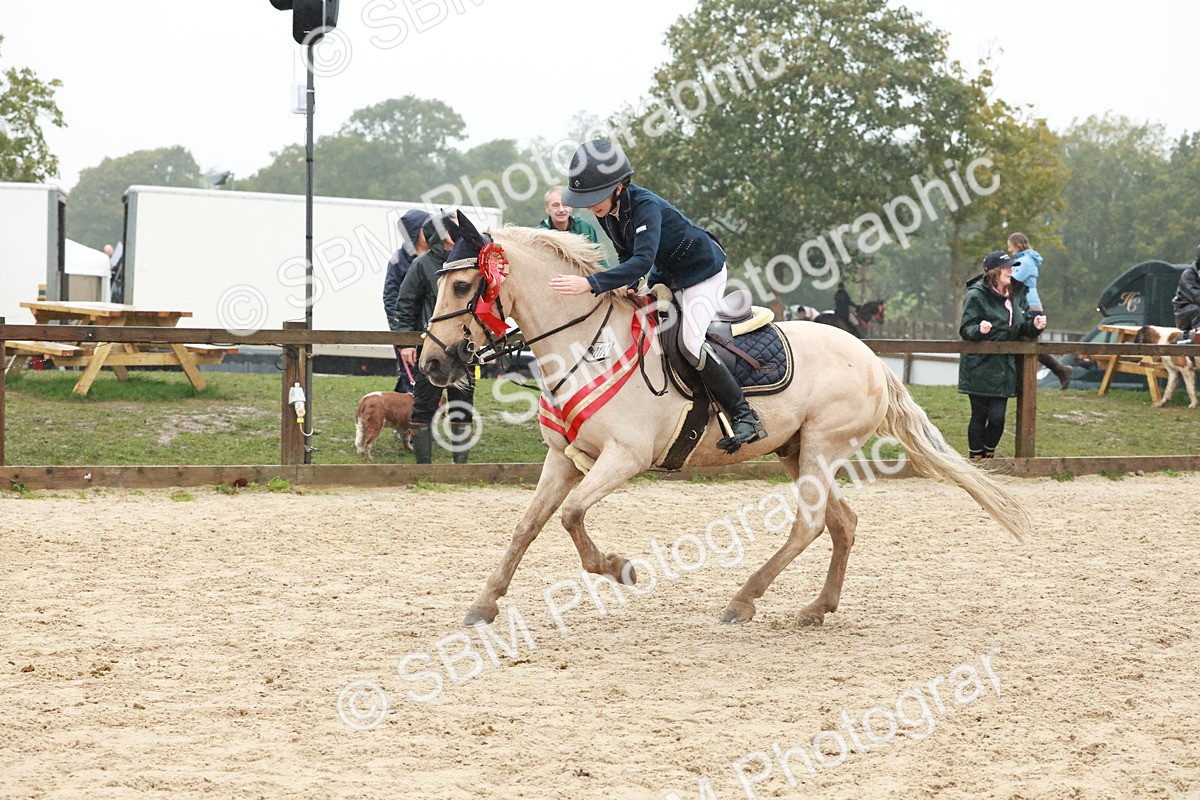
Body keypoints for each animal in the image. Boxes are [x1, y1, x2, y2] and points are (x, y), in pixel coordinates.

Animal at [419, 213, 1029, 629]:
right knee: (843, 523)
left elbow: (570, 516)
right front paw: (483, 604)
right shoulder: (564, 458)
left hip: (821, 448)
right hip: (799, 451)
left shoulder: (624, 457)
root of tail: (873, 358)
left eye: (463, 286)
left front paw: (619, 568)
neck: (584, 345)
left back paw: (743, 599)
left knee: (810, 525)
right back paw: (817, 607)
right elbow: (528, 525)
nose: (430, 365)